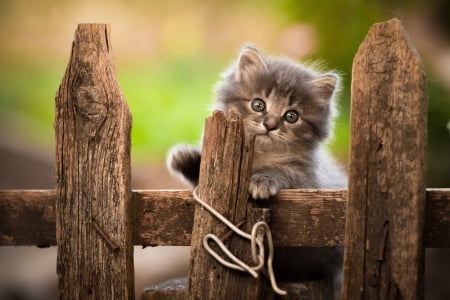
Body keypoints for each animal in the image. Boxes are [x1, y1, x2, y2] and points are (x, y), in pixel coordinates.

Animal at [167, 46, 346, 284]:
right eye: (258, 104)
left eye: (291, 116)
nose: (270, 125)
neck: (260, 154)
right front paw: (186, 156)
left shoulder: (308, 180)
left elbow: (281, 172)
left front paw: (261, 182)